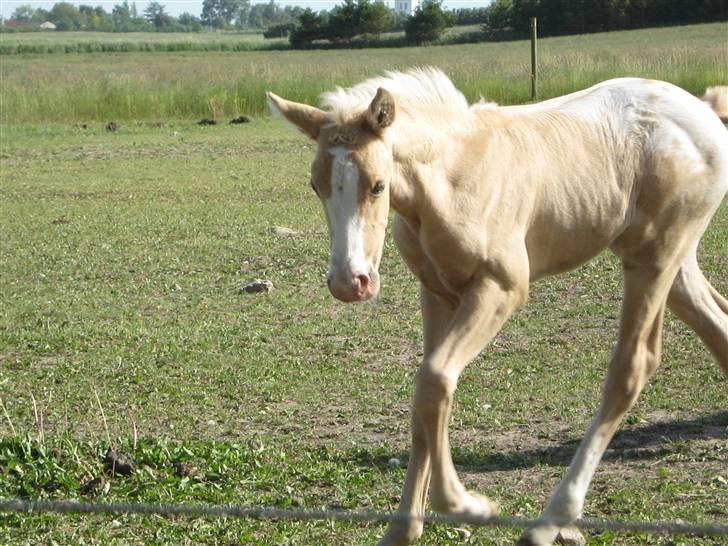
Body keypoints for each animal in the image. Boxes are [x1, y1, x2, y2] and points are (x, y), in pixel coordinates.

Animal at [268, 69, 728, 544]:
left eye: (379, 184)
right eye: (316, 185)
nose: (349, 282)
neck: (452, 179)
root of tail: (703, 112)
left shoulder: (501, 287)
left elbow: (435, 379)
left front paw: (470, 506)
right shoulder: (436, 293)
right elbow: (425, 397)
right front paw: (401, 529)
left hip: (653, 256)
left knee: (633, 366)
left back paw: (550, 520)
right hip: (672, 263)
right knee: (718, 327)